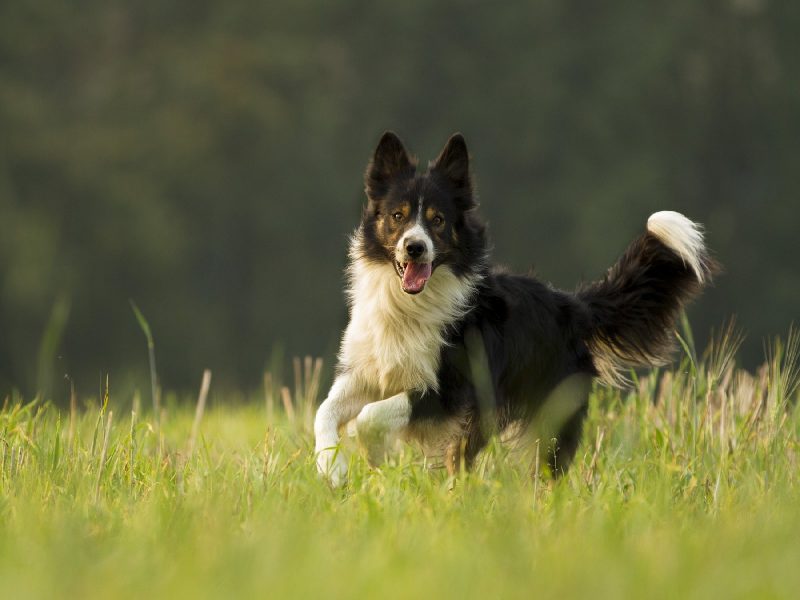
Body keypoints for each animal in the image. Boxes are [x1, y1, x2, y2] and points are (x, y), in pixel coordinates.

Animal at [312, 129, 712, 486]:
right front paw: (332, 469)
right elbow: (324, 410)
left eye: (438, 220)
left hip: (542, 414)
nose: (415, 247)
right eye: (398, 215)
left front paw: (373, 454)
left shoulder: (450, 390)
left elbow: (370, 416)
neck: (409, 304)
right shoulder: (368, 371)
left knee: (541, 468)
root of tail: (572, 305)